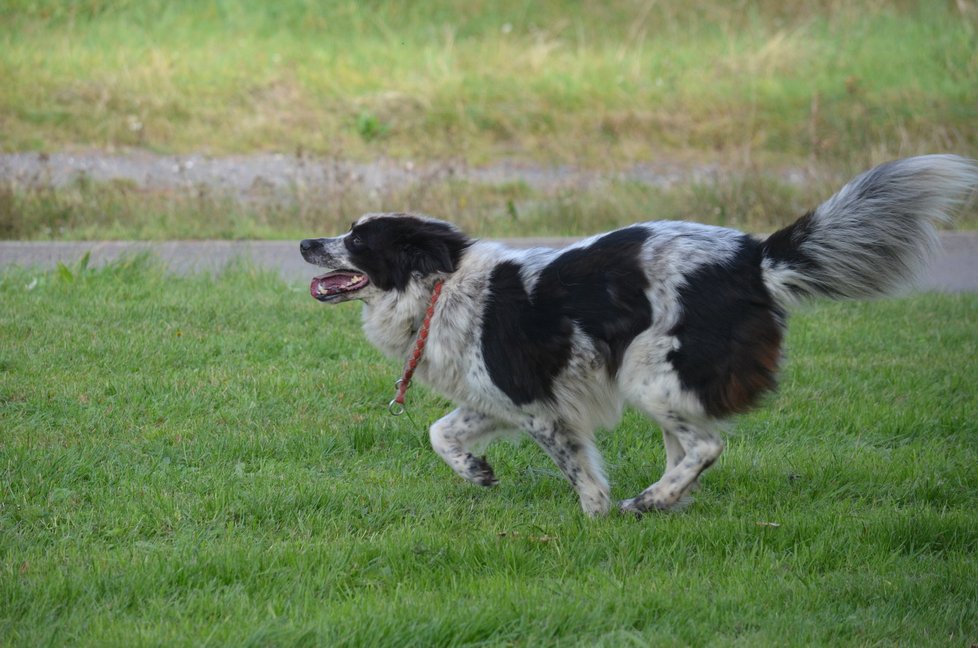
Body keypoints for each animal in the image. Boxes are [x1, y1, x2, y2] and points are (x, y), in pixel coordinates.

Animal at [300, 156, 976, 516]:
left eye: (358, 238)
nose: (306, 242)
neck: (440, 287)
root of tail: (754, 257)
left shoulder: (541, 409)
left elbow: (580, 472)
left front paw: (595, 522)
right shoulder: (496, 399)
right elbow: (440, 432)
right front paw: (477, 471)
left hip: (648, 373)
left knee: (706, 446)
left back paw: (650, 501)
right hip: (659, 383)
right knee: (688, 448)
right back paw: (668, 502)